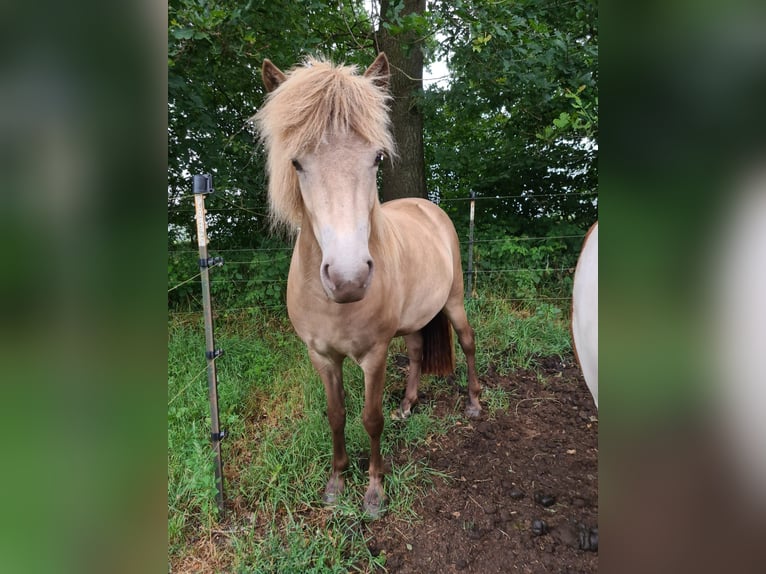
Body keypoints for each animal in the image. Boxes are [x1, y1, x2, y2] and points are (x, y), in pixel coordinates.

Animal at [253, 53, 481, 517]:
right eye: (296, 163)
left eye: (376, 158)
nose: (348, 278)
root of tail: (428, 207)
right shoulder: (322, 356)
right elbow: (336, 415)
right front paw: (337, 482)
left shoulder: (374, 355)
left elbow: (370, 419)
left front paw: (375, 491)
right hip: (415, 319)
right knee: (416, 351)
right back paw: (408, 406)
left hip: (453, 302)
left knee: (467, 342)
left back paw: (473, 402)